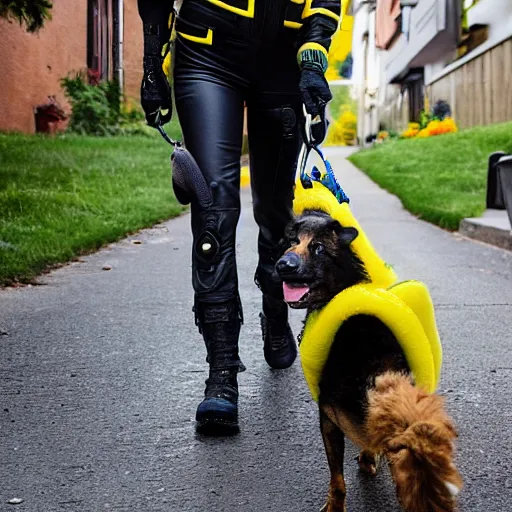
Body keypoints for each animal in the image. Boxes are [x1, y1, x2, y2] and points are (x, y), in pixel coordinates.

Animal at [276, 209, 464, 512]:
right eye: (291, 242)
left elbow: (337, 479)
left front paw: (335, 505)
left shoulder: (329, 420)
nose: (283, 265)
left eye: (318, 248)